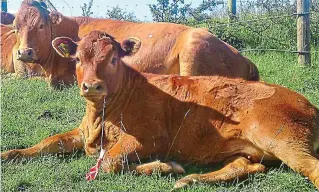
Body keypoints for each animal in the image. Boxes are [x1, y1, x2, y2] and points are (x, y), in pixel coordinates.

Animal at [1, 31, 318, 189]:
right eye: (78, 58)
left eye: (113, 58)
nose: (92, 86)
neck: (101, 117)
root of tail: (308, 104)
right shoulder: (83, 132)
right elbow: (47, 142)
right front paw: (9, 154)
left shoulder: (151, 137)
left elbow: (108, 163)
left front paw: (164, 166)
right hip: (247, 148)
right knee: (247, 166)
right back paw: (190, 179)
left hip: (280, 137)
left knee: (310, 168)